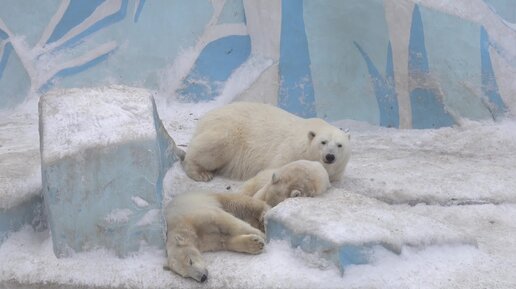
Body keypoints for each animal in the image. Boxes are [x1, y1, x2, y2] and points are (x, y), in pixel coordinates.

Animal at [181, 102, 350, 181]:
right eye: (323, 142)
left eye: (339, 145)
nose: (330, 156)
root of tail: (205, 118)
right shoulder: (291, 151)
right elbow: (276, 168)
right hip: (228, 130)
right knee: (213, 147)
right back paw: (201, 173)